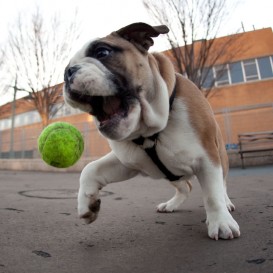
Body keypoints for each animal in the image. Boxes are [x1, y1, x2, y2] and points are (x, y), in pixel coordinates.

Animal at [63, 22, 238, 239]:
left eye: (102, 52)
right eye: (66, 69)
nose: (68, 72)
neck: (149, 131)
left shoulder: (207, 157)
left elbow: (213, 194)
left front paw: (221, 222)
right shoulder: (127, 162)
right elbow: (90, 168)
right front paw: (87, 204)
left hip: (220, 155)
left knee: (222, 184)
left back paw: (227, 204)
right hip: (171, 174)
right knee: (186, 186)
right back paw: (171, 205)